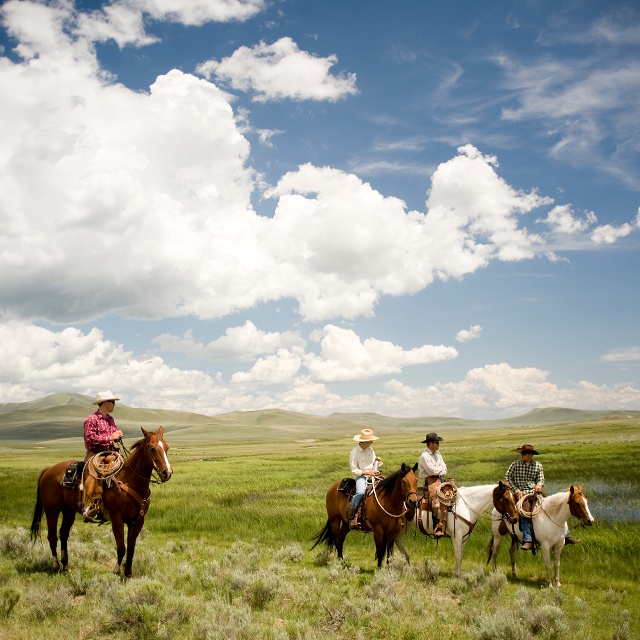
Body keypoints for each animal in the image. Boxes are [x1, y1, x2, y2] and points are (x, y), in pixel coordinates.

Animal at [29, 428, 171, 576]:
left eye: (166, 447)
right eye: (152, 448)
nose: (167, 472)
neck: (130, 480)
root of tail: (48, 470)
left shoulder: (137, 520)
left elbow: (131, 548)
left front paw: (128, 574)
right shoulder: (117, 518)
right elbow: (121, 546)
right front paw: (116, 570)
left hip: (68, 510)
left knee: (63, 534)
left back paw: (66, 566)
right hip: (52, 511)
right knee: (52, 537)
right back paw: (56, 566)